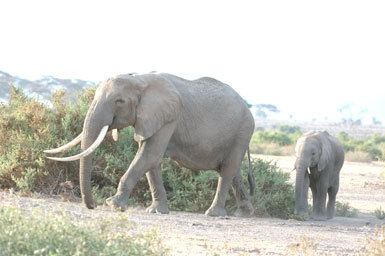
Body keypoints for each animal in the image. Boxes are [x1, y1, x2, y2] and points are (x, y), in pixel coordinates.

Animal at [45, 71, 255, 216]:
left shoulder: (169, 116)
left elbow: (149, 155)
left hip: (243, 131)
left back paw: (214, 214)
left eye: (119, 101)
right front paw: (156, 211)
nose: (92, 206)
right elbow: (151, 160)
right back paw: (244, 213)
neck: (140, 79)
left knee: (228, 169)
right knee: (232, 170)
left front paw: (113, 204)